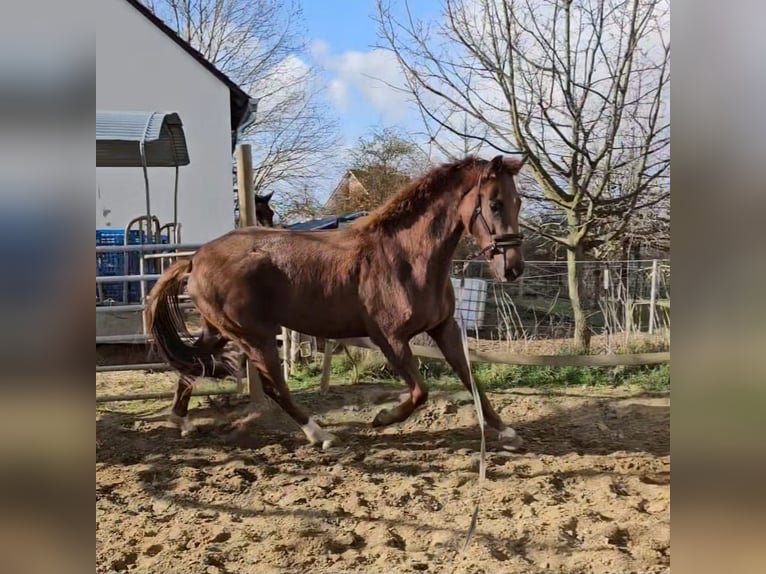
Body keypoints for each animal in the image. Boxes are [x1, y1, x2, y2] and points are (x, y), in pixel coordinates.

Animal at [145, 155, 527, 449]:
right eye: (494, 204)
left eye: (518, 202)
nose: (513, 268)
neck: (407, 257)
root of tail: (196, 258)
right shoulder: (389, 339)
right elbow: (420, 391)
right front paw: (382, 418)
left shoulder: (443, 328)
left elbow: (471, 380)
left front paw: (505, 430)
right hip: (255, 336)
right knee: (273, 386)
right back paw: (321, 435)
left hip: (219, 331)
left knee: (194, 366)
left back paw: (181, 421)